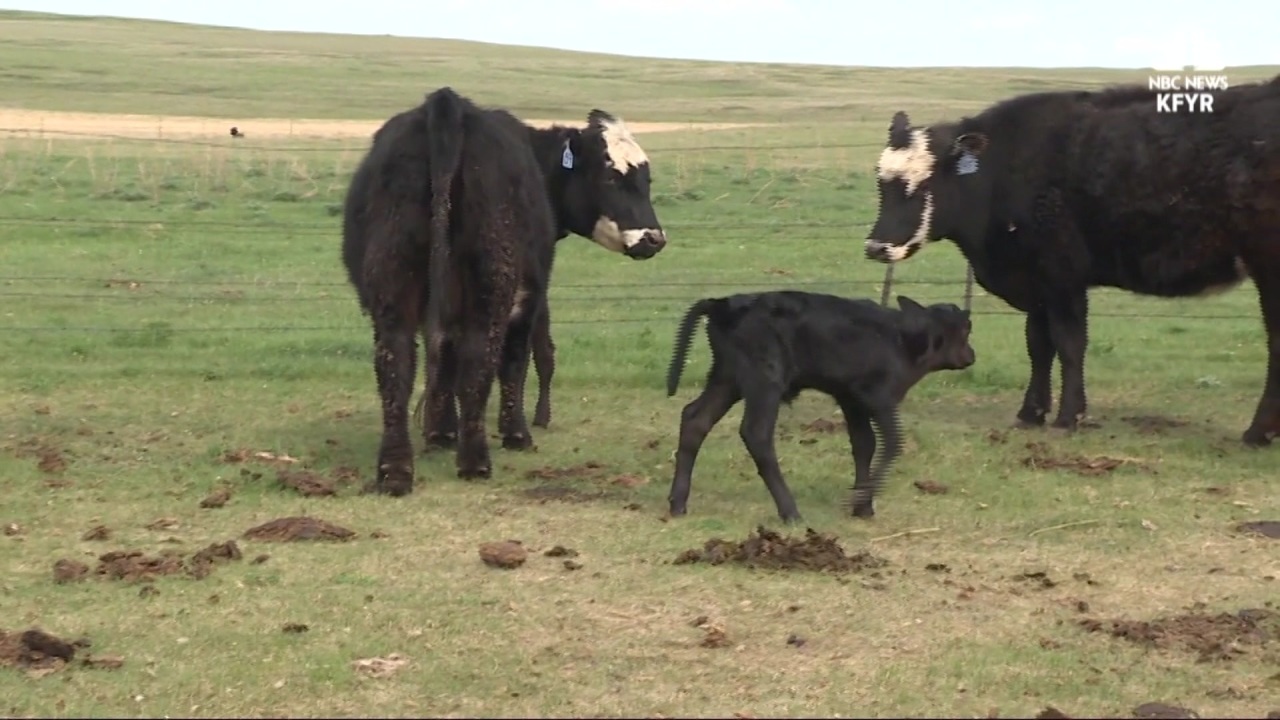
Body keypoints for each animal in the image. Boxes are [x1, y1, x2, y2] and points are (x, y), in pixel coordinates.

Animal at [342, 87, 666, 496]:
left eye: (647, 179)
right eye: (611, 176)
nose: (653, 238)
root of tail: (448, 106)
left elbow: (443, 359)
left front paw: (441, 431)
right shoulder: (531, 292)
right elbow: (519, 360)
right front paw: (516, 433)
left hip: (394, 289)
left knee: (396, 366)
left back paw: (395, 470)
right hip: (491, 287)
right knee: (479, 359)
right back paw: (476, 461)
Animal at [664, 291, 976, 522]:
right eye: (966, 328)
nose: (971, 355)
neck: (903, 341)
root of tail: (722, 303)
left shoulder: (851, 399)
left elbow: (864, 444)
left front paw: (863, 507)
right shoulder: (878, 397)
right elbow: (893, 443)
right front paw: (862, 499)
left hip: (727, 378)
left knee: (695, 418)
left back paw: (678, 503)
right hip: (765, 380)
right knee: (755, 432)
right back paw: (790, 512)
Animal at [863, 76, 1280, 445]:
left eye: (924, 183)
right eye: (882, 182)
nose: (876, 247)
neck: (1002, 171)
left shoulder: (1062, 276)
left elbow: (1069, 344)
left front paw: (1068, 417)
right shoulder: (1037, 284)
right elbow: (1038, 345)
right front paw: (1030, 413)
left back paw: (1258, 433)